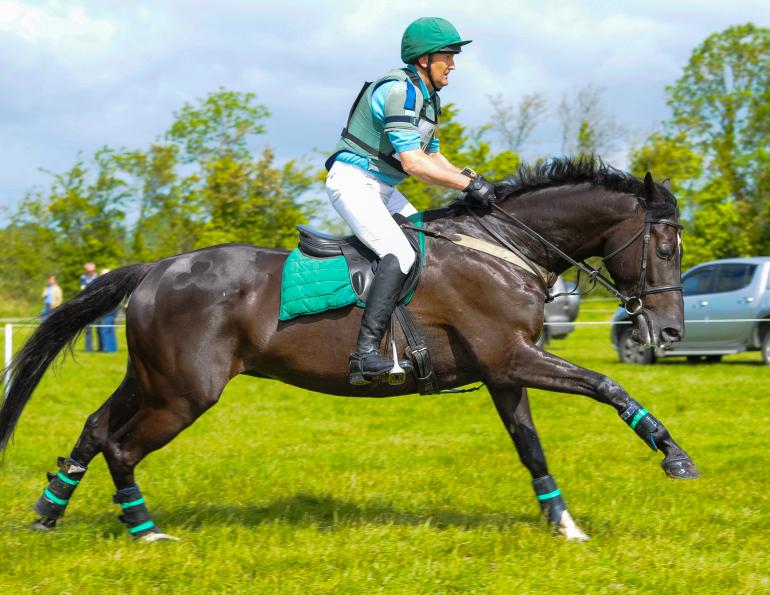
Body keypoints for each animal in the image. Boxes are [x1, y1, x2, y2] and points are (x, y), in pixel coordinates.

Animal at [0, 158, 699, 542]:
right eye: (665, 248)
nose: (669, 334)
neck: (504, 248)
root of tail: (155, 269)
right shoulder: (512, 357)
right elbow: (608, 386)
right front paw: (674, 456)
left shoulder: (505, 372)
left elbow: (531, 448)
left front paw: (566, 526)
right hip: (184, 394)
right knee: (121, 446)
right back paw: (145, 533)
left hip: (152, 380)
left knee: (95, 428)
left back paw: (46, 513)